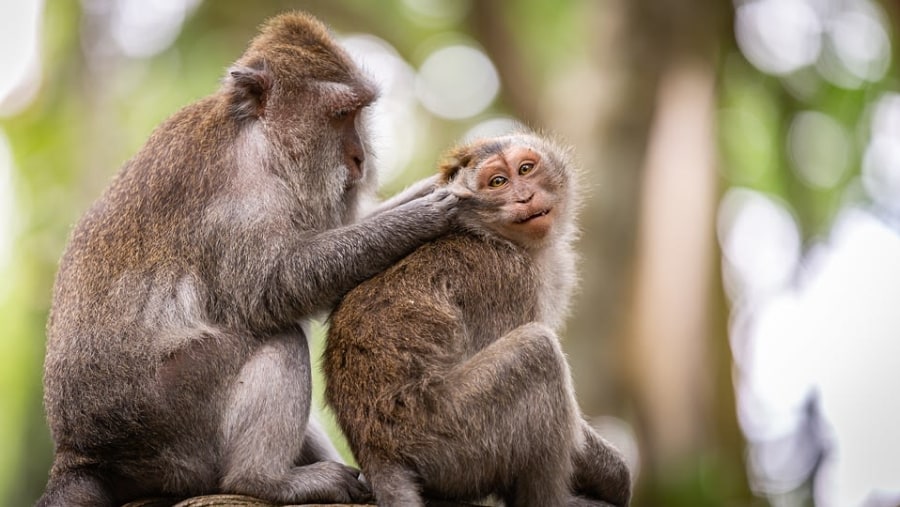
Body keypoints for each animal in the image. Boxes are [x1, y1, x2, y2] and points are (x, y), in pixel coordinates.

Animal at [39, 11, 468, 507]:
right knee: (279, 338)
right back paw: (263, 480)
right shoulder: (241, 196)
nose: (360, 158)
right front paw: (423, 217)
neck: (258, 134)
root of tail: (79, 453)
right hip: (172, 419)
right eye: (341, 114)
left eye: (359, 112)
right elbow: (276, 286)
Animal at [326, 133, 632, 506]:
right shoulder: (509, 281)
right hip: (450, 438)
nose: (524, 197)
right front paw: (614, 473)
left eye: (525, 169)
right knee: (538, 351)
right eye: (498, 182)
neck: (493, 235)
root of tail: (376, 452)